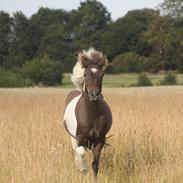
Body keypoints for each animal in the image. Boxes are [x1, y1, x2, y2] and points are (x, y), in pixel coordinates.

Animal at [63, 48, 112, 177]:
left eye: (102, 74)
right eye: (85, 74)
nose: (94, 95)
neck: (92, 116)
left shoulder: (100, 139)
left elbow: (95, 163)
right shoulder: (80, 137)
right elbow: (80, 152)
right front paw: (83, 169)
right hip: (72, 138)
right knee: (76, 151)